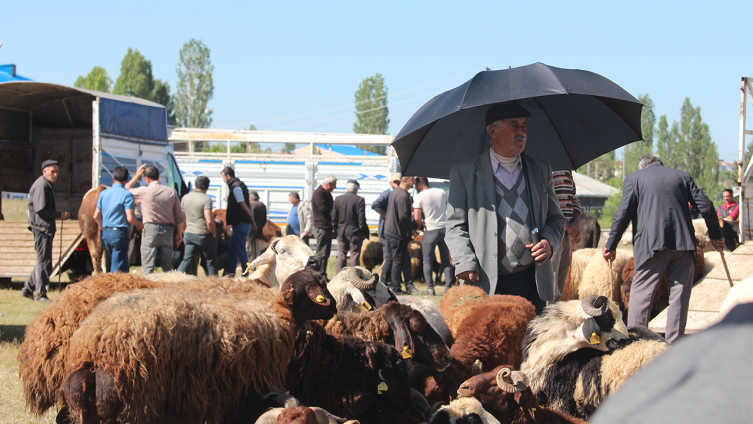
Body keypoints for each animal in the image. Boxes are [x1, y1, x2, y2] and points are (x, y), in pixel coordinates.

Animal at [61, 270, 338, 424]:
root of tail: (91, 354)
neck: (280, 309)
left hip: (88, 414)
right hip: (136, 406)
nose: (334, 307)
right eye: (322, 286)